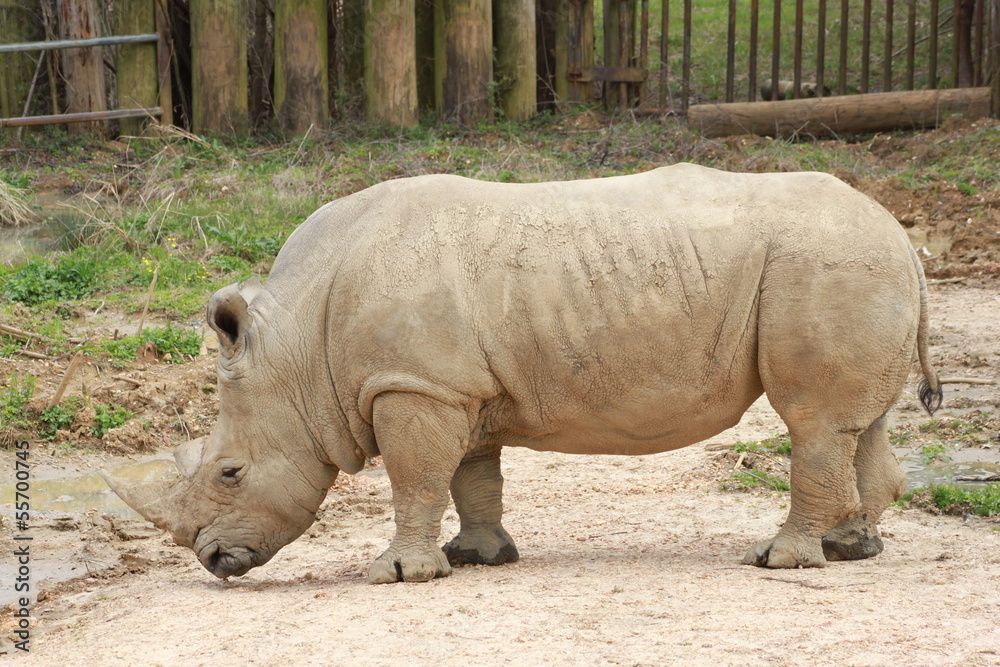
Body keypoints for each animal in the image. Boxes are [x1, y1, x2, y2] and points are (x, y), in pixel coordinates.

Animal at [104, 164, 941, 583]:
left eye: (231, 473)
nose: (214, 560)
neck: (298, 350)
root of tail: (901, 233)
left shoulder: (413, 383)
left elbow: (415, 478)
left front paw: (399, 573)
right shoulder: (452, 385)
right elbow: (471, 475)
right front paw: (477, 557)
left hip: (827, 262)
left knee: (814, 423)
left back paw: (783, 560)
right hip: (853, 264)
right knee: (858, 424)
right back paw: (852, 549)